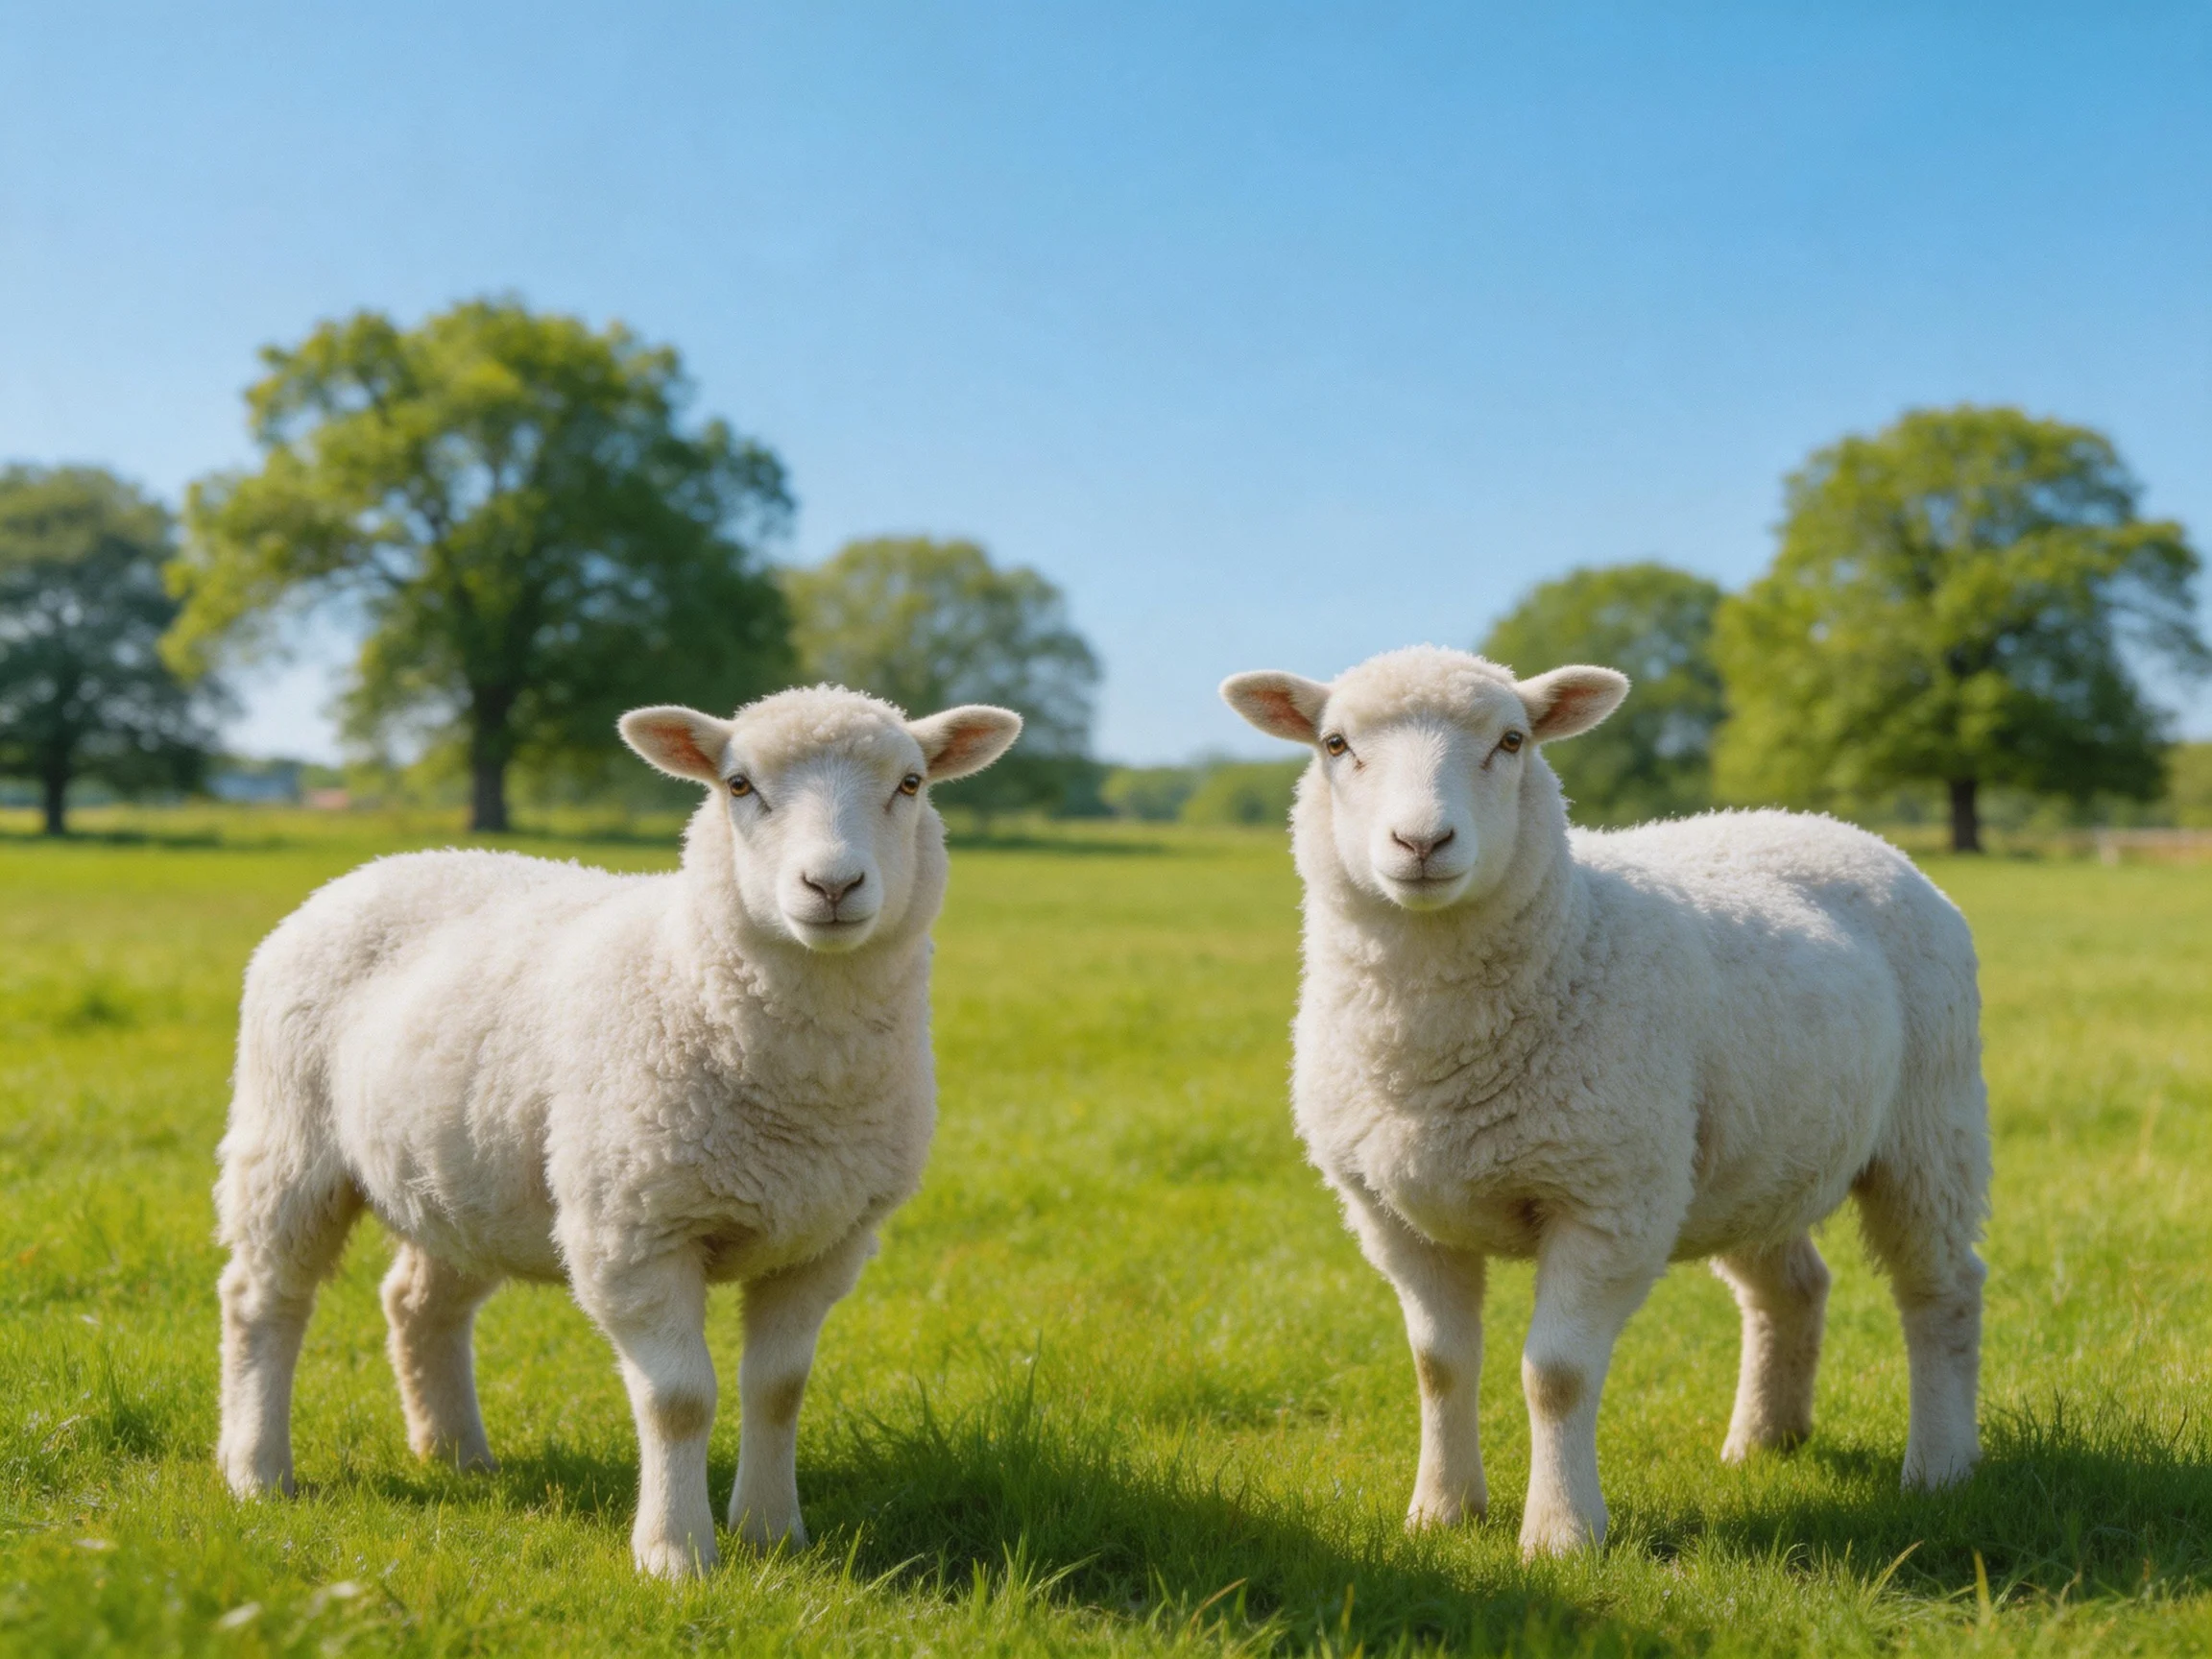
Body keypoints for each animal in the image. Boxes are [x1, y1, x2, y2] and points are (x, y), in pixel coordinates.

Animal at [212, 686, 1021, 1579]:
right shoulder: (633, 1229)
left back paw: (456, 1454)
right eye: (739, 786)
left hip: (464, 1176)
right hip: (288, 1141)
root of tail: (379, 867)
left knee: (418, 1303)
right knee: (262, 1299)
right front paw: (676, 1554)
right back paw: (256, 1471)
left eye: (911, 783)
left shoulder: (825, 1242)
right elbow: (679, 1400)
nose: (832, 883)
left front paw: (773, 1533)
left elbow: (778, 1390)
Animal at [1221, 645, 1989, 1558]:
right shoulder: (1394, 1215)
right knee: (1792, 1287)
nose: (1422, 841)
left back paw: (1940, 1466)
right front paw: (1442, 1512)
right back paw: (1765, 1440)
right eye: (1335, 745)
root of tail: (1834, 826)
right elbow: (1439, 1364)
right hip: (1749, 1157)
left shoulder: (1606, 1201)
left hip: (1930, 1126)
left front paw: (1560, 1534)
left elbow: (1555, 1374)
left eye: (1512, 741)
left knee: (1942, 1290)